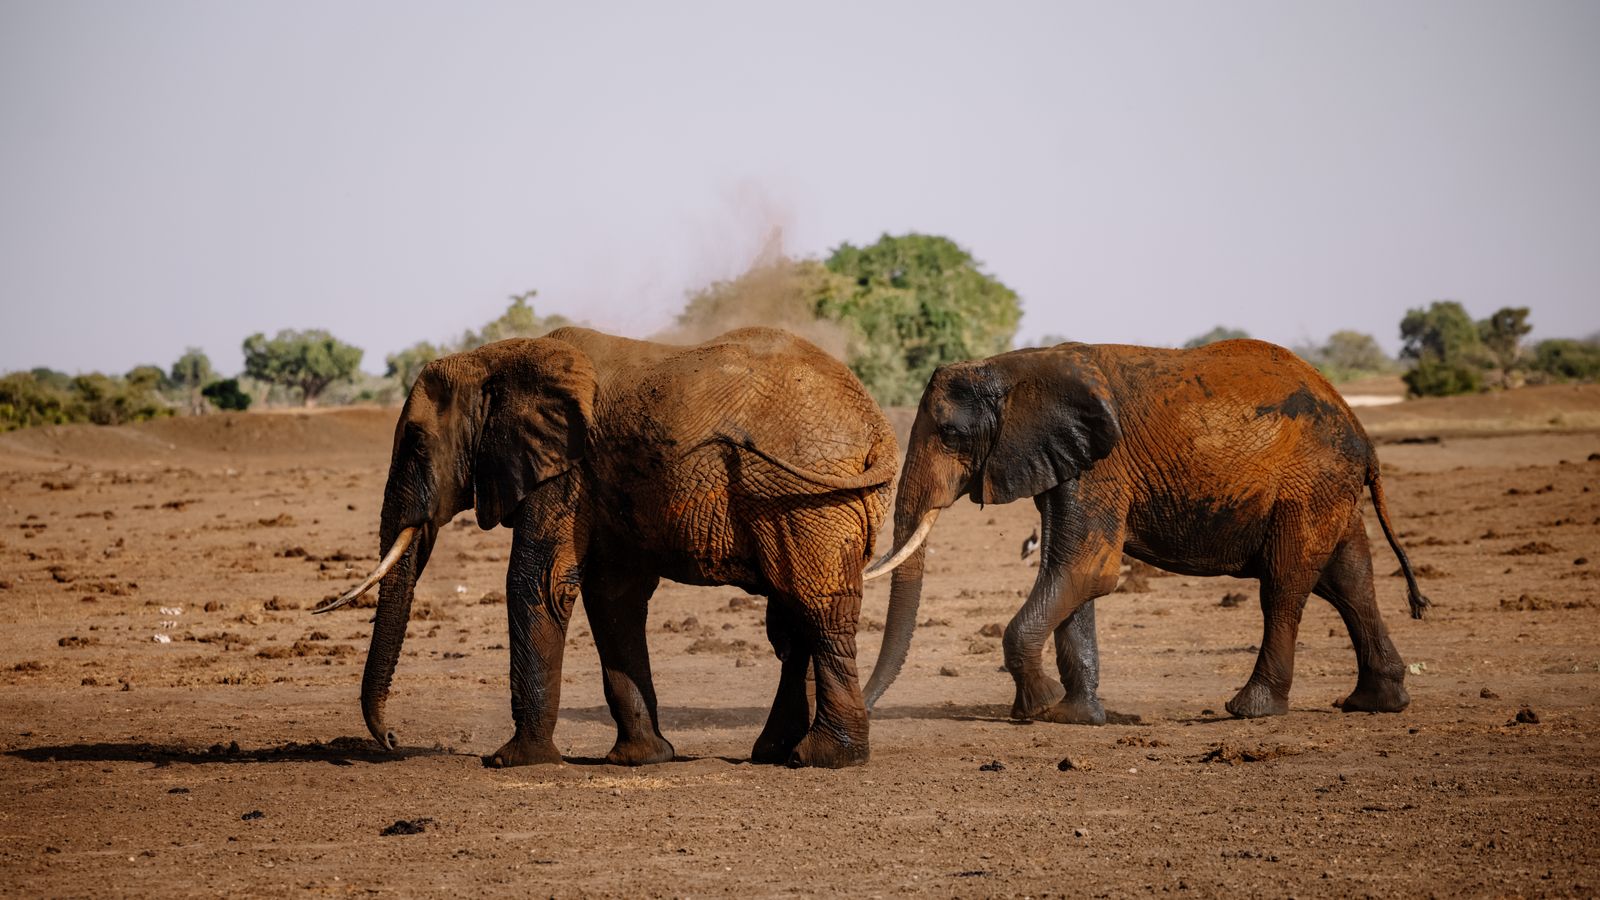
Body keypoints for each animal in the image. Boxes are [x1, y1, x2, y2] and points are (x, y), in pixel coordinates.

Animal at [316, 326, 897, 768]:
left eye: (416, 443)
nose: (392, 741)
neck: (501, 357)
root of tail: (878, 428)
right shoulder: (600, 483)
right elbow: (613, 600)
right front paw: (641, 759)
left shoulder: (565, 472)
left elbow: (537, 583)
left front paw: (511, 761)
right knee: (793, 617)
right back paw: (775, 754)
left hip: (807, 498)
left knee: (818, 611)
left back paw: (824, 759)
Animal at [859, 339, 1429, 724]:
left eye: (950, 434)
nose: (863, 708)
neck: (1015, 366)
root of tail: (1362, 434)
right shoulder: (1068, 462)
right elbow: (1075, 577)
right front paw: (1076, 717)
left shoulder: (1100, 466)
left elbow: (1084, 571)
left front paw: (1038, 708)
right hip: (1328, 490)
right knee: (1351, 581)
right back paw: (1376, 704)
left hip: (1307, 486)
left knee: (1285, 588)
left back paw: (1249, 709)